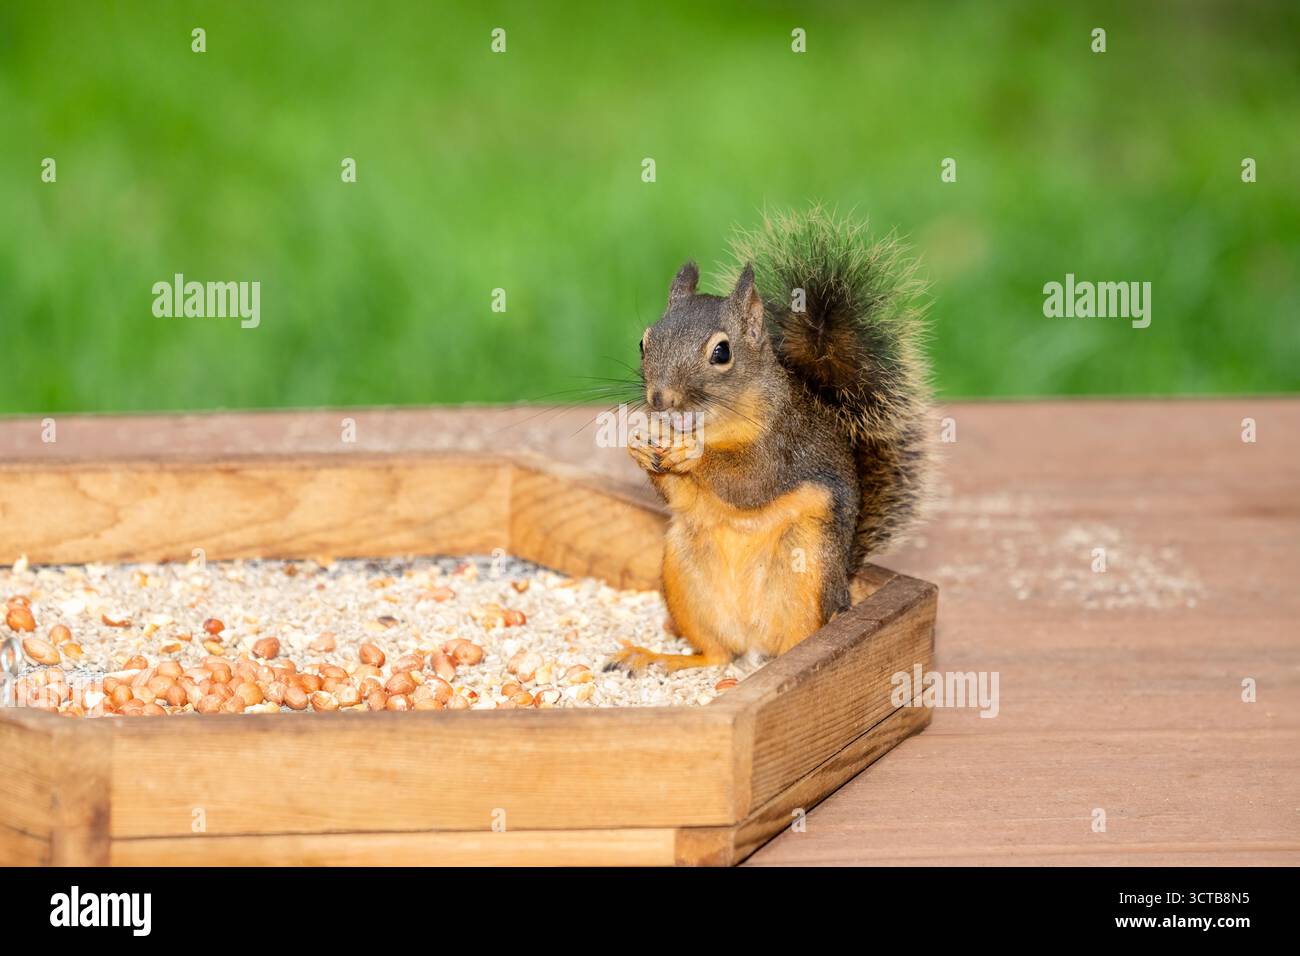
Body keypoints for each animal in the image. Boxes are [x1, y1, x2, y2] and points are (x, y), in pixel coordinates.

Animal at [610, 206, 931, 673]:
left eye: (721, 352)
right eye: (643, 342)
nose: (660, 400)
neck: (714, 425)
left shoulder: (784, 441)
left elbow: (751, 482)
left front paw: (693, 454)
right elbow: (677, 494)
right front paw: (638, 444)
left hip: (806, 572)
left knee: (800, 637)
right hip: (685, 577)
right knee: (716, 655)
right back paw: (659, 657)